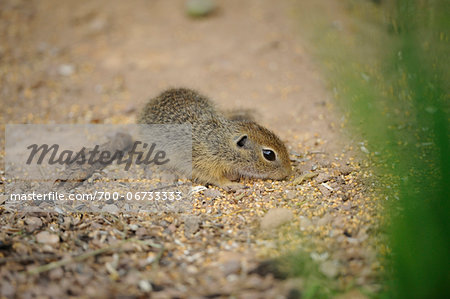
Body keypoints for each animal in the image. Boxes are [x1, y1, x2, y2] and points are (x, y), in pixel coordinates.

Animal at [137, 88, 292, 189]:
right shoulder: (201, 163)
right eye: (269, 154)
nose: (288, 172)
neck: (219, 142)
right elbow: (214, 178)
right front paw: (229, 184)